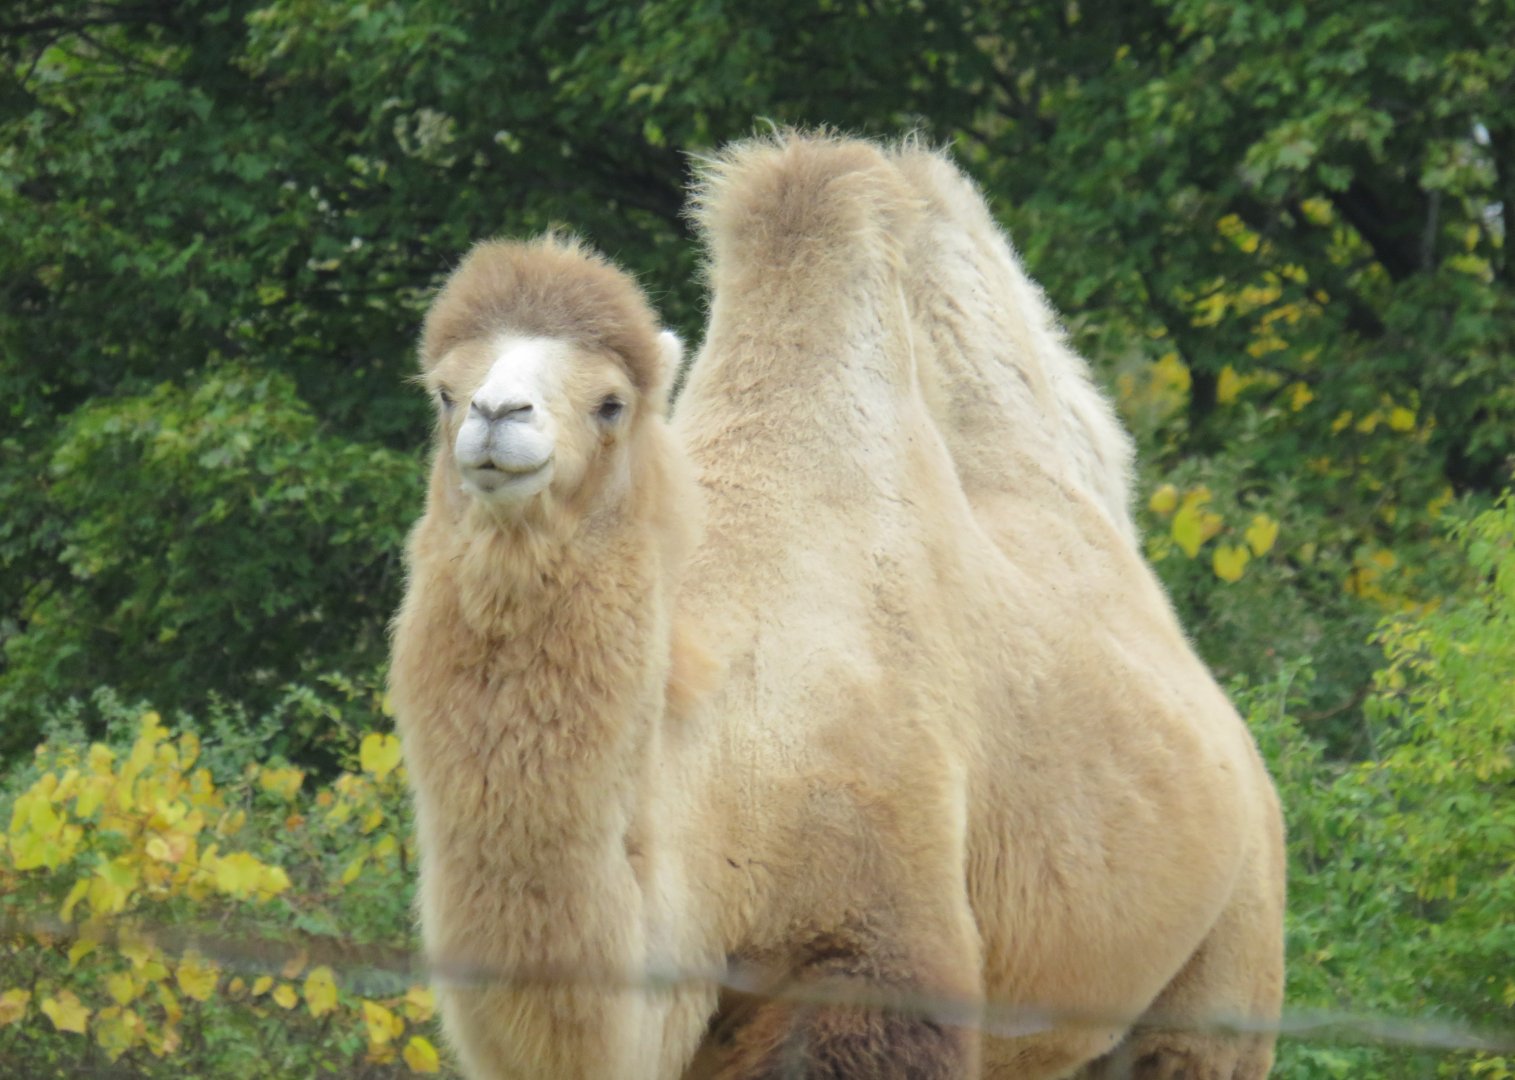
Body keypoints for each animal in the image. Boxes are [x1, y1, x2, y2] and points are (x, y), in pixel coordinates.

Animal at [390, 134, 1283, 1080]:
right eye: (443, 391)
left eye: (610, 403)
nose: (497, 415)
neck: (732, 753)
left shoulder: (881, 958)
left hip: (1230, 954)